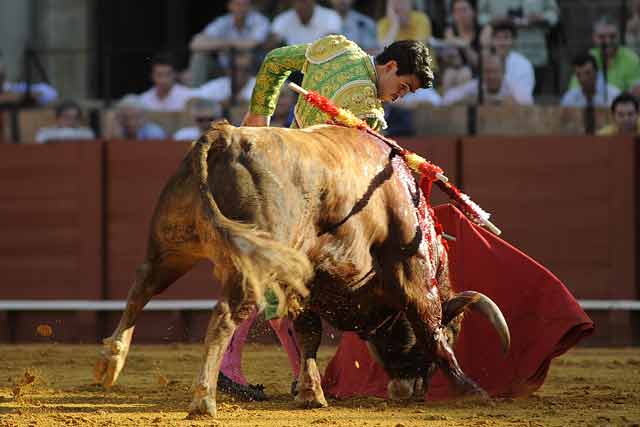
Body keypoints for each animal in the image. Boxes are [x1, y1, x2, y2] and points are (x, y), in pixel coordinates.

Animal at [94, 121, 510, 418]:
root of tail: (226, 136)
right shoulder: (412, 273)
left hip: (173, 244)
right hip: (252, 263)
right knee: (225, 316)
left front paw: (311, 392)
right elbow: (430, 328)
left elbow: (307, 333)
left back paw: (110, 363)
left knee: (143, 285)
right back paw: (203, 400)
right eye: (457, 331)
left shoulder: (308, 281)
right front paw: (472, 391)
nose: (412, 389)